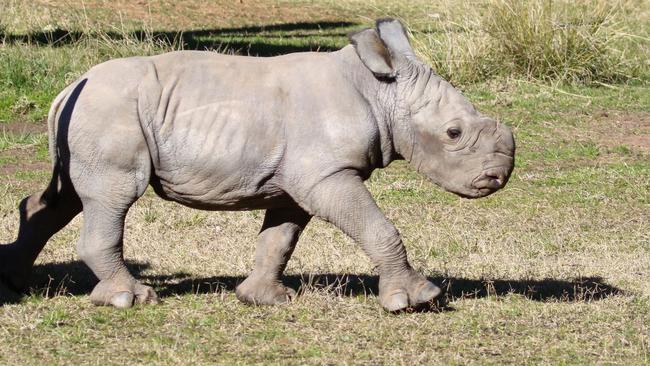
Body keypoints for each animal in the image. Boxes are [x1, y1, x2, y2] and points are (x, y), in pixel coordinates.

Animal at [1, 18, 516, 312]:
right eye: (454, 134)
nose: (497, 177)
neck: (379, 89)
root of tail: (68, 87)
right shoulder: (328, 174)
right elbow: (378, 227)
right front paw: (416, 300)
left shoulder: (299, 180)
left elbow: (279, 239)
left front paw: (266, 299)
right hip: (109, 112)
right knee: (112, 196)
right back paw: (132, 299)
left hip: (91, 114)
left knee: (66, 197)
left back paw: (15, 284)